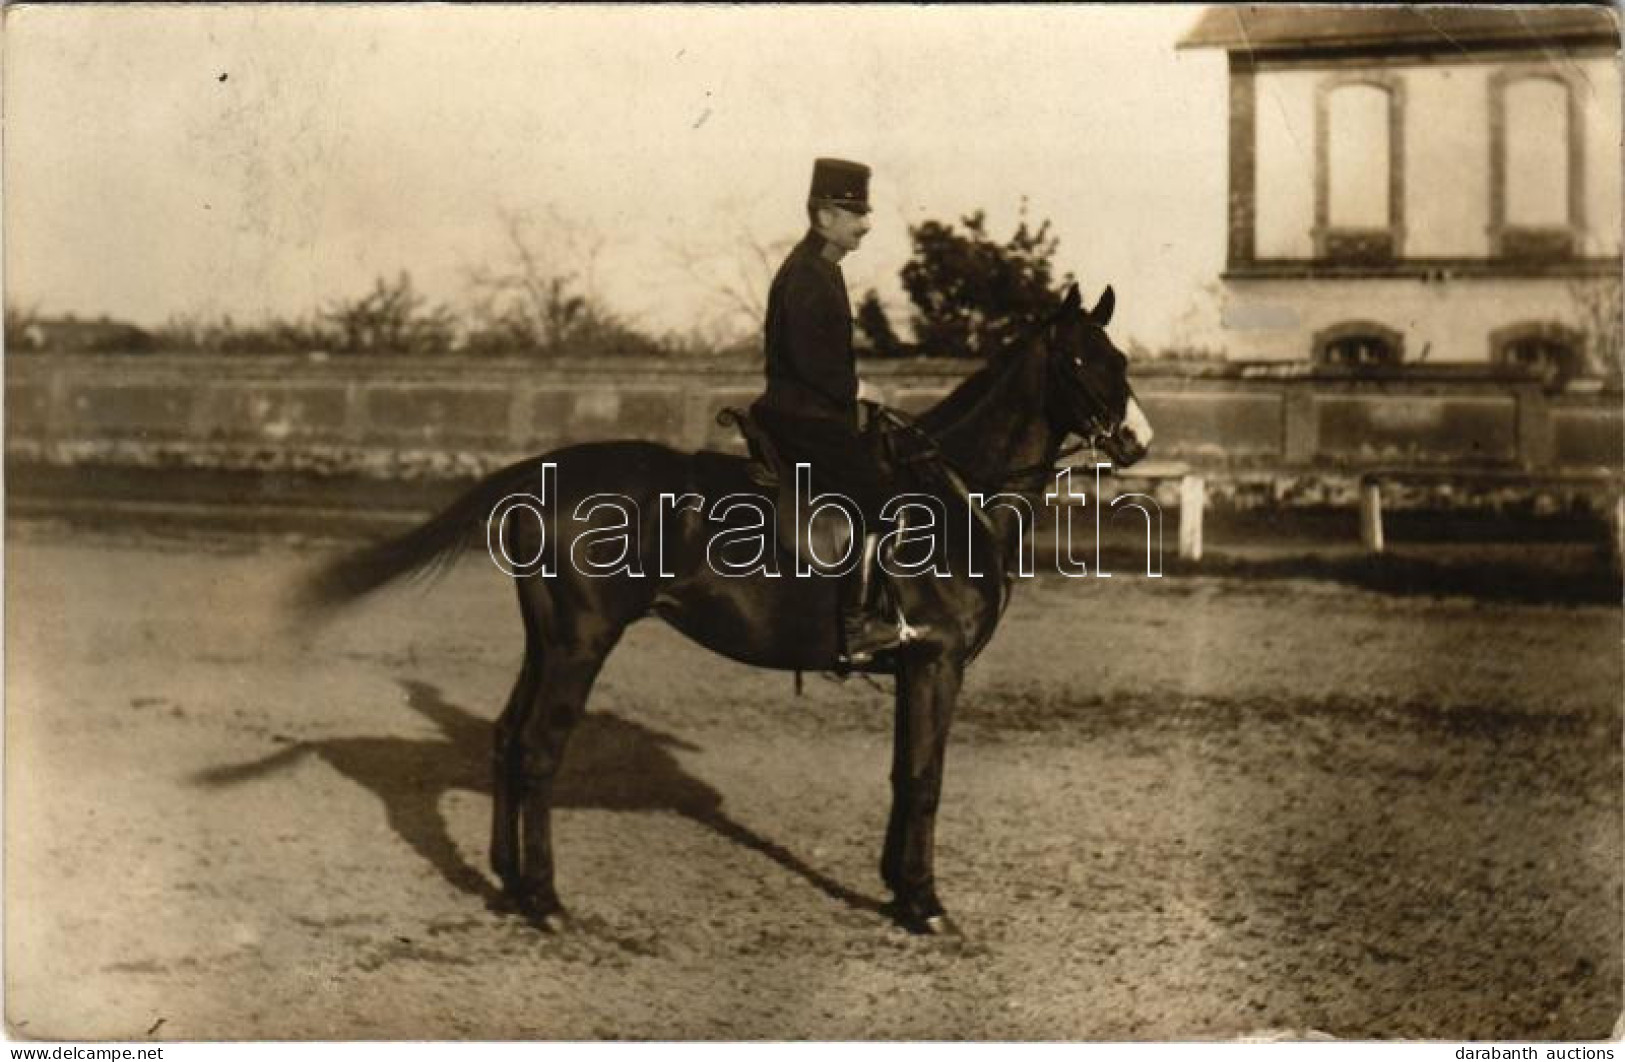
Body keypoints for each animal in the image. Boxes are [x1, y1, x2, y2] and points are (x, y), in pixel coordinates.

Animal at [302, 285, 1144, 941]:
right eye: (1080, 361)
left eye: (1122, 360)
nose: (1138, 440)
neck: (955, 490)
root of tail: (544, 469)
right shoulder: (934, 662)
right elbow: (924, 777)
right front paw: (925, 904)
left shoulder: (915, 668)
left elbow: (904, 775)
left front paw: (897, 891)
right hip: (581, 641)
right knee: (538, 748)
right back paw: (546, 901)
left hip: (545, 640)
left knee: (508, 738)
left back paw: (509, 885)